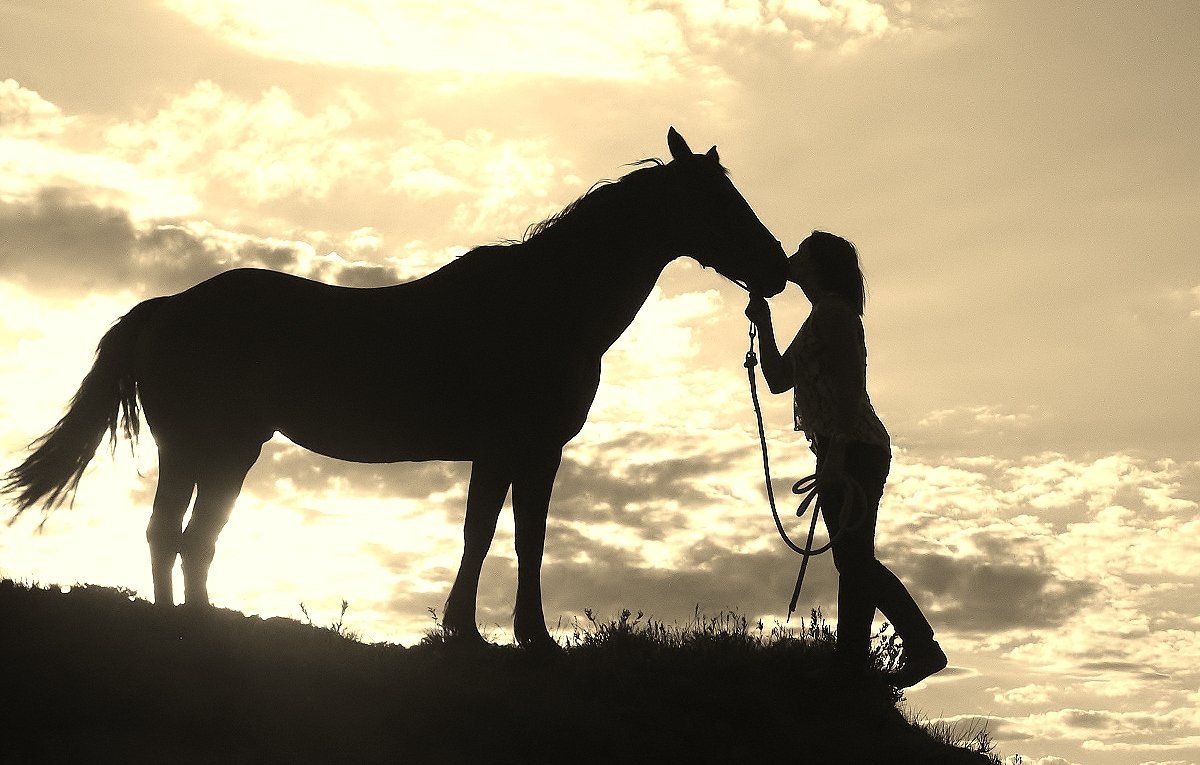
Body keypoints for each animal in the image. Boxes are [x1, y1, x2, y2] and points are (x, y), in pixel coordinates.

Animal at [7, 127, 787, 652]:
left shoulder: (532, 453)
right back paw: (195, 628)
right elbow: (490, 535)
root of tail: (168, 305)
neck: (547, 304)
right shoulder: (511, 448)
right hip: (218, 447)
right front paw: (478, 634)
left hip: (204, 449)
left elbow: (520, 537)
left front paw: (520, 636)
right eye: (719, 201)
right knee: (187, 535)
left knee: (174, 534)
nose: (777, 268)